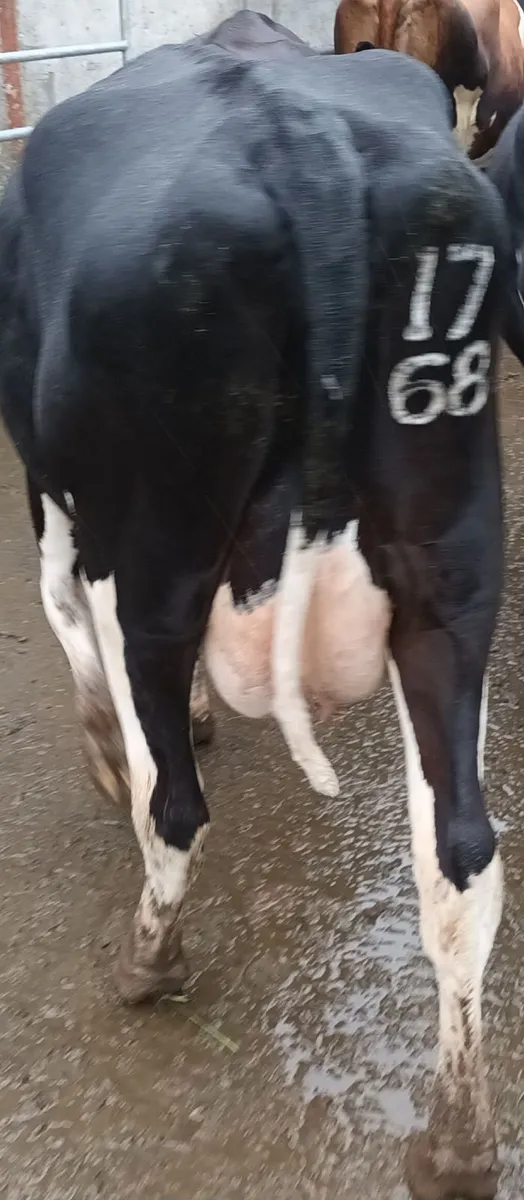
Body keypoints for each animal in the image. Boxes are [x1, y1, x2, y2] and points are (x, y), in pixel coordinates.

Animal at [0, 10, 512, 1199]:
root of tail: (299, 138)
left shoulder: (55, 494)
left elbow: (65, 626)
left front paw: (108, 747)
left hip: (153, 559)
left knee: (172, 804)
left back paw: (149, 958)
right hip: (451, 577)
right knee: (462, 857)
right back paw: (456, 1140)